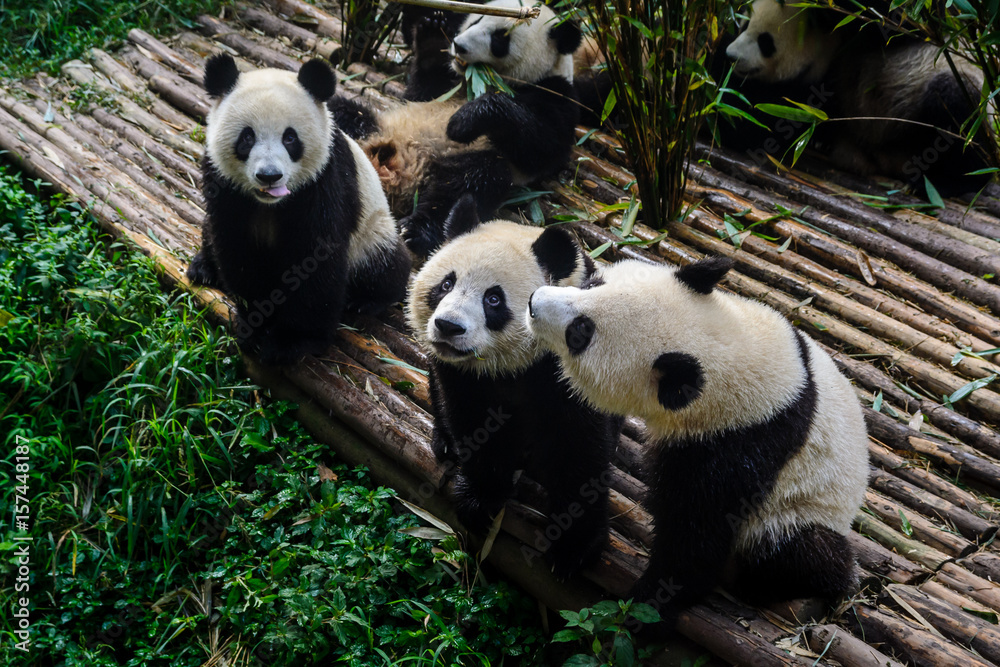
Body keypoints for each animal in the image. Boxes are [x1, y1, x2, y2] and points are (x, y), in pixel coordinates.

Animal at [187, 54, 411, 365]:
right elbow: (237, 249)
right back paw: (203, 268)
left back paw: (365, 300)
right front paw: (255, 325)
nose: (269, 176)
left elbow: (315, 262)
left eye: (290, 138)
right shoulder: (226, 188)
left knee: (386, 266)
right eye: (247, 138)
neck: (270, 203)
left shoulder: (323, 183)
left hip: (372, 231)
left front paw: (292, 342)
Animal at [346, 0, 584, 258]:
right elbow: (420, 91)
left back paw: (415, 231)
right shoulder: (444, 85)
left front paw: (463, 122)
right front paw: (432, 35)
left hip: (459, 163)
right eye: (476, 20)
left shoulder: (556, 94)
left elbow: (542, 146)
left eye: (500, 38)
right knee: (344, 112)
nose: (459, 46)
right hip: (375, 126)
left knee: (468, 184)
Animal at [406, 195, 621, 578]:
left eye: (493, 299)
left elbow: (579, 446)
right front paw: (479, 501)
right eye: (445, 285)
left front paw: (575, 548)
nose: (448, 327)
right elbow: (475, 424)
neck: (511, 365)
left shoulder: (569, 365)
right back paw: (444, 441)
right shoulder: (462, 375)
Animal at [526, 256, 870, 621]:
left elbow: (697, 529)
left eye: (580, 332)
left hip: (803, 509)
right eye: (592, 286)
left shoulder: (736, 442)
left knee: (796, 552)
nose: (533, 302)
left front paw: (650, 603)